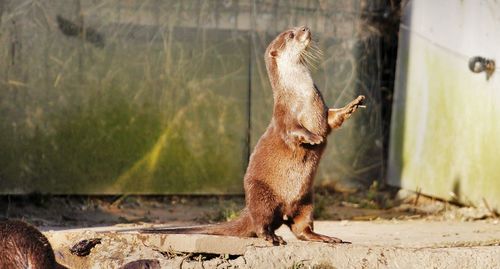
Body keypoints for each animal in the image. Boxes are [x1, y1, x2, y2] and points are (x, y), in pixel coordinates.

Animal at [143, 26, 366, 244]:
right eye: (291, 34)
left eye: (297, 29)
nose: (306, 28)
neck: (302, 94)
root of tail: (248, 212)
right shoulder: (284, 114)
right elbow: (293, 130)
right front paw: (313, 138)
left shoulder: (322, 110)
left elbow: (332, 119)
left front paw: (352, 105)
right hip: (261, 195)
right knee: (262, 222)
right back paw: (271, 237)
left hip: (307, 201)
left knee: (301, 229)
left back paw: (324, 237)